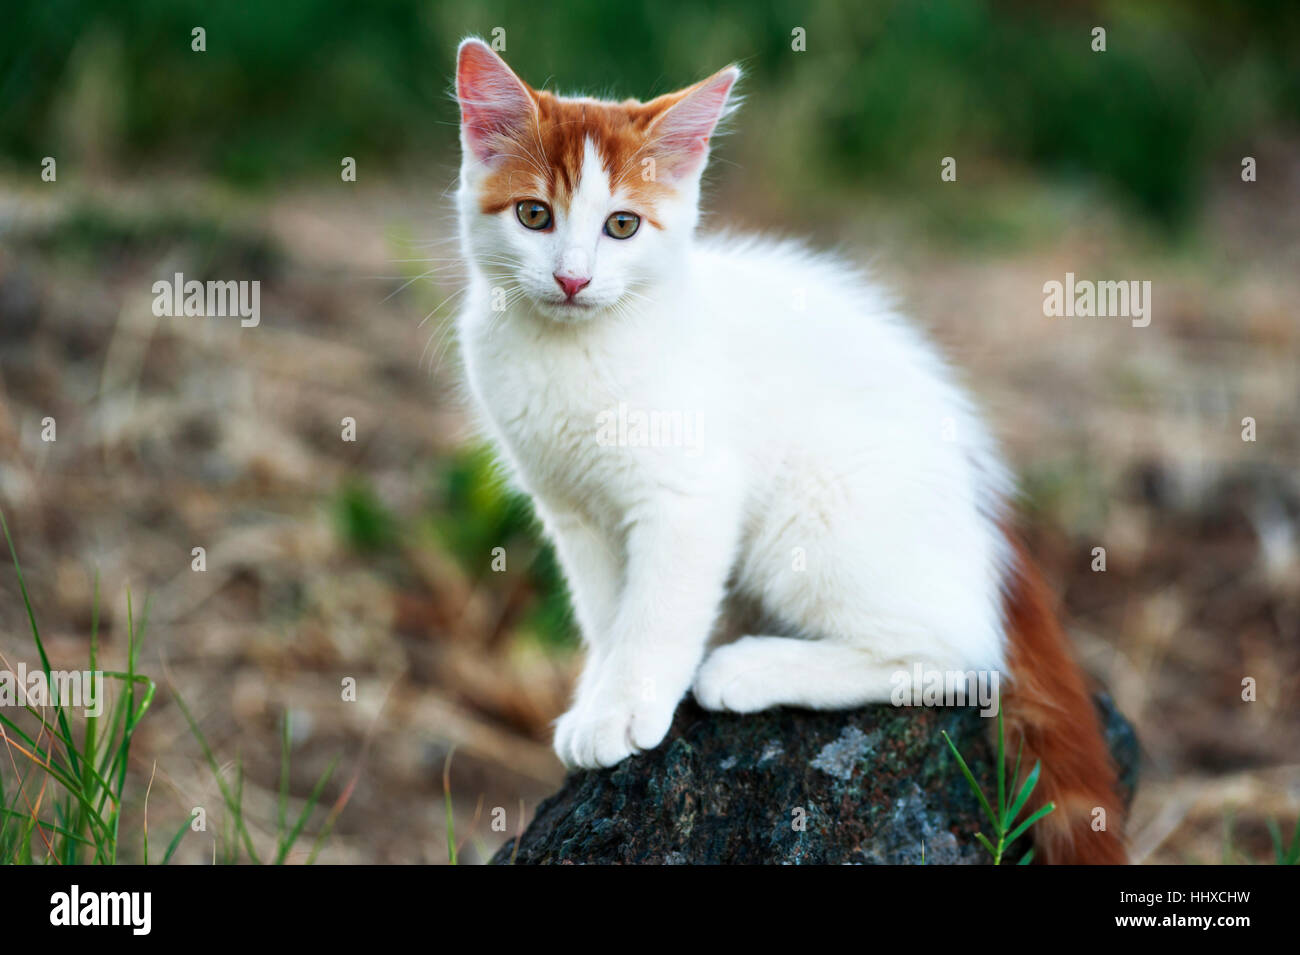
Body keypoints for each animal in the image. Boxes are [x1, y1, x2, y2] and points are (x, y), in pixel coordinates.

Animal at [452, 39, 1123, 867]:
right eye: (534, 215)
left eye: (622, 226)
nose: (572, 278)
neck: (575, 349)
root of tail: (989, 517)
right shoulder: (571, 511)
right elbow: (610, 613)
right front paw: (601, 695)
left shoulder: (691, 495)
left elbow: (657, 611)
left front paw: (629, 702)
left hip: (817, 519)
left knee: (959, 655)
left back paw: (752, 666)